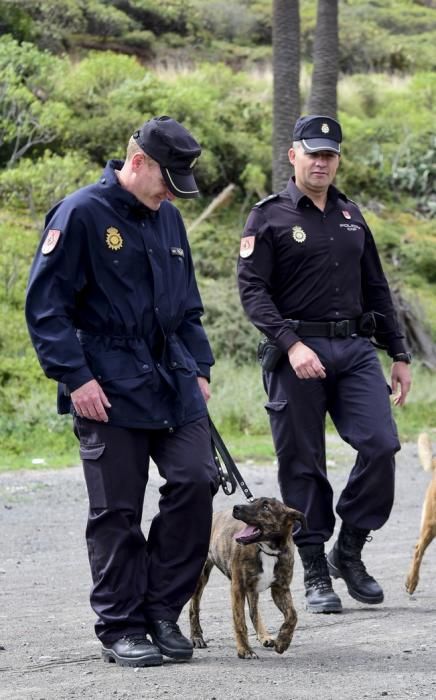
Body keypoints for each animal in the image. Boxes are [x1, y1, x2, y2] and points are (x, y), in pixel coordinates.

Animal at [189, 494, 304, 660]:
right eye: (253, 501)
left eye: (266, 507)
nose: (236, 507)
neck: (268, 550)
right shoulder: (238, 588)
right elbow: (240, 622)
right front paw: (245, 650)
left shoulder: (280, 589)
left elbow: (292, 615)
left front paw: (283, 641)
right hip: (201, 577)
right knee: (194, 607)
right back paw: (196, 637)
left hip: (252, 588)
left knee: (253, 611)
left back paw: (264, 636)